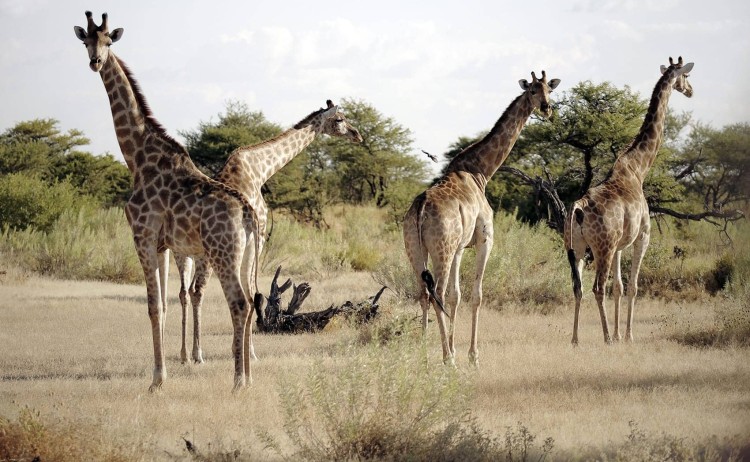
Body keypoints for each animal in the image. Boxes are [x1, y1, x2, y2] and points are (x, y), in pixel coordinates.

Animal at [74, 11, 262, 391]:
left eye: (108, 40)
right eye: (86, 40)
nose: (95, 61)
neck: (137, 156)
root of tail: (249, 214)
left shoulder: (142, 235)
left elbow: (151, 306)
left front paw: (156, 381)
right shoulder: (162, 244)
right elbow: (161, 305)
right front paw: (163, 375)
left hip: (223, 252)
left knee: (238, 303)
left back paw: (237, 381)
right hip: (246, 255)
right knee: (250, 301)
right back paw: (248, 379)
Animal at [175, 100, 363, 364]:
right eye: (339, 119)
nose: (357, 135)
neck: (260, 170)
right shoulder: (259, 237)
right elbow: (253, 292)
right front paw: (249, 352)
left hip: (183, 254)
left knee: (183, 292)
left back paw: (183, 355)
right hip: (210, 254)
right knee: (197, 291)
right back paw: (197, 354)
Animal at [403, 71, 560, 365]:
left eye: (550, 90)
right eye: (533, 90)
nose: (546, 108)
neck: (480, 172)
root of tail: (420, 207)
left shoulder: (460, 248)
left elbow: (456, 295)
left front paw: (455, 347)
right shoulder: (485, 239)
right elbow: (476, 295)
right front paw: (472, 356)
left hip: (416, 250)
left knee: (423, 293)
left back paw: (423, 355)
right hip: (440, 250)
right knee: (436, 292)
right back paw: (447, 360)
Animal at [564, 57, 694, 345]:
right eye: (686, 76)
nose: (691, 91)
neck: (638, 168)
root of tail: (578, 207)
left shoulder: (620, 246)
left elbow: (619, 287)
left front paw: (619, 333)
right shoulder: (642, 236)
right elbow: (633, 286)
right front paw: (628, 336)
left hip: (577, 248)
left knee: (578, 287)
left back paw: (576, 339)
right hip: (602, 247)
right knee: (596, 287)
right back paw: (605, 338)